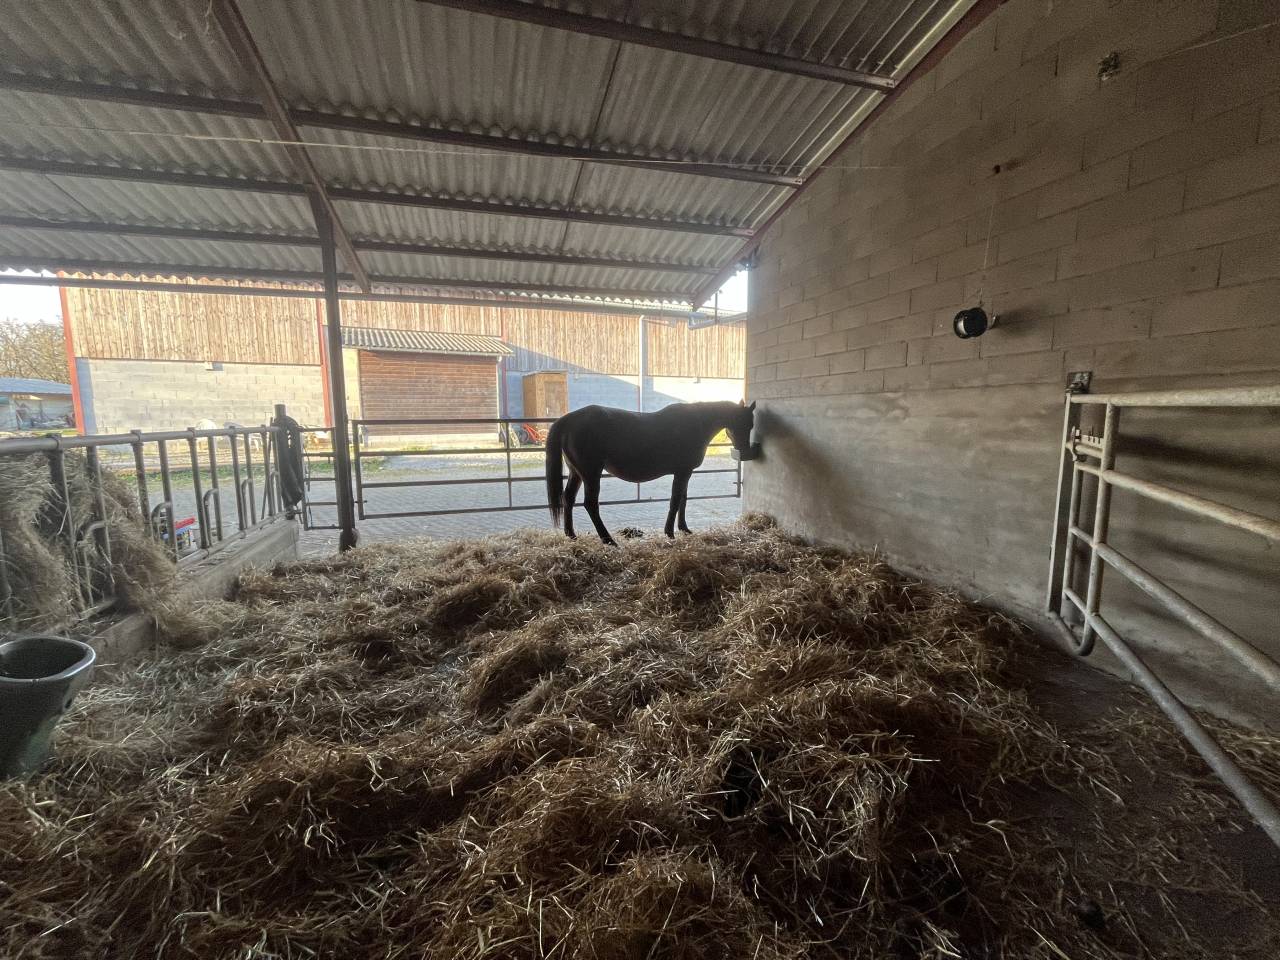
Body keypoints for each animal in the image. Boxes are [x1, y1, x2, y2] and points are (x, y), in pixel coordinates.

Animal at [544, 400, 756, 545]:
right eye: (743, 423)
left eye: (751, 425)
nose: (745, 453)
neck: (695, 424)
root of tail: (568, 419)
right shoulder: (682, 472)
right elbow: (675, 501)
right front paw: (669, 533)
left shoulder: (685, 472)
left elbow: (683, 500)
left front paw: (684, 529)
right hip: (591, 474)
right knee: (590, 504)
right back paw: (609, 540)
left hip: (576, 473)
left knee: (568, 498)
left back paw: (571, 535)